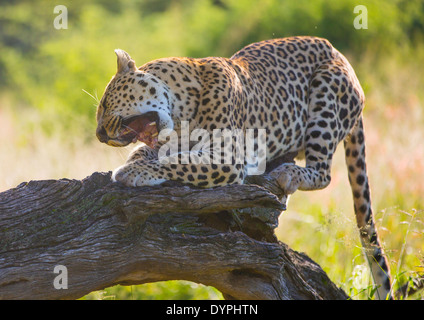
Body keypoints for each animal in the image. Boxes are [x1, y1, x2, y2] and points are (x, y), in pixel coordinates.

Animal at [95, 36, 390, 298]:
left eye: (105, 104)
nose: (99, 135)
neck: (182, 106)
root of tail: (341, 56)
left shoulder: (227, 158)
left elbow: (177, 162)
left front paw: (133, 172)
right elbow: (151, 151)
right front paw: (135, 162)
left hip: (326, 93)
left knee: (324, 172)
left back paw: (288, 174)